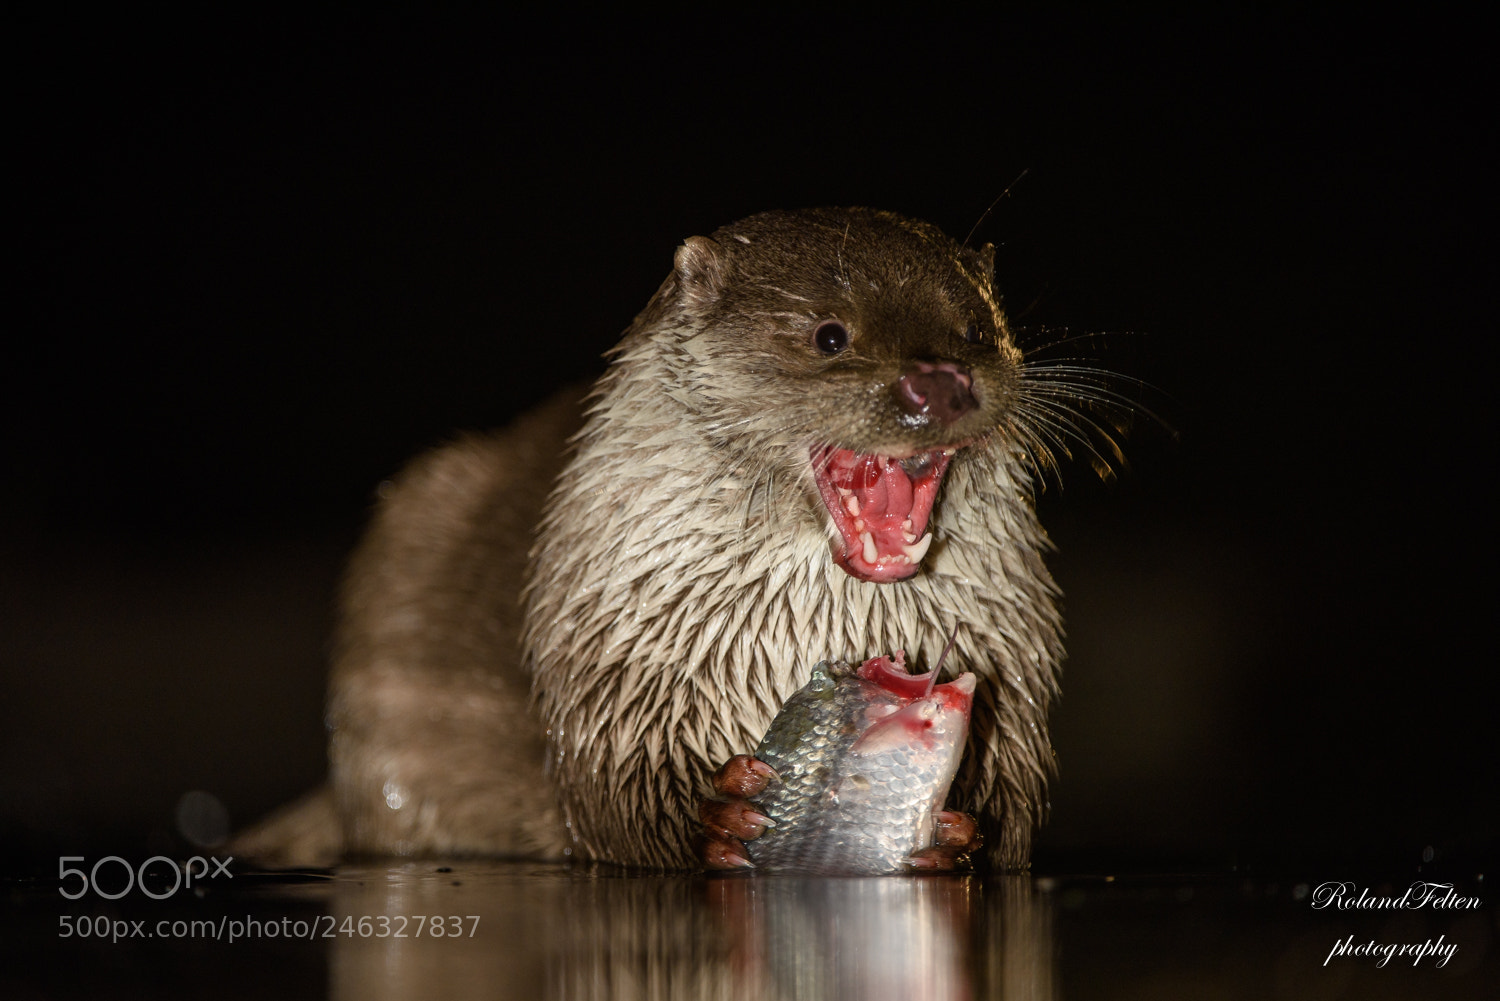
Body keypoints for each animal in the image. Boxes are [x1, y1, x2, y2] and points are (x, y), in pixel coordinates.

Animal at [239, 208, 1077, 870]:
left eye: (975, 330)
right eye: (830, 336)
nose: (939, 381)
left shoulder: (1009, 656)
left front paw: (960, 836)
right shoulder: (618, 675)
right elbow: (619, 806)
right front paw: (717, 823)